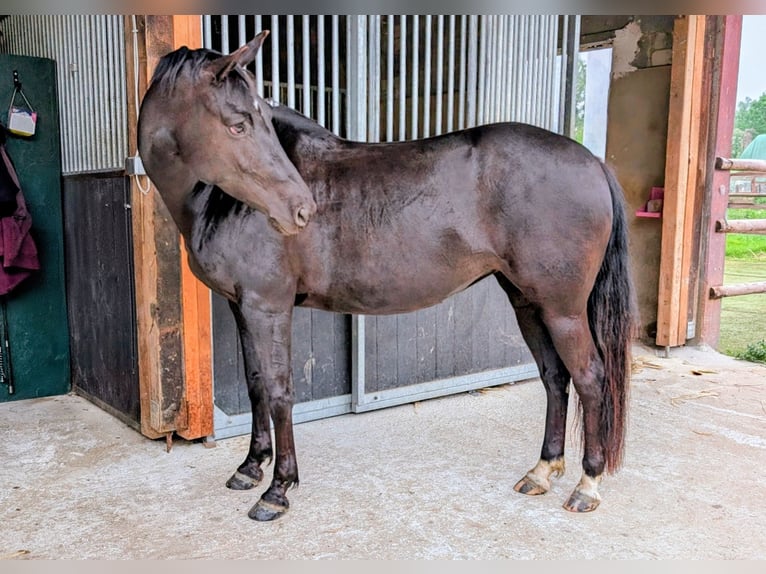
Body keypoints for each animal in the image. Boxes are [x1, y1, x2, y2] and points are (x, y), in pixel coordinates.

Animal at [138, 33, 636, 522]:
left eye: (254, 120)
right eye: (239, 124)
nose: (301, 210)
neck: (220, 201)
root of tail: (593, 162)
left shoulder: (268, 306)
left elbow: (279, 391)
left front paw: (277, 490)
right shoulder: (241, 306)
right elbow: (255, 383)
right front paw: (249, 468)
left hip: (562, 310)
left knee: (590, 378)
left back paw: (587, 485)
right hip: (527, 301)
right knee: (554, 376)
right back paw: (542, 470)